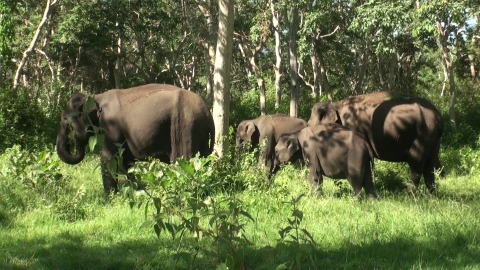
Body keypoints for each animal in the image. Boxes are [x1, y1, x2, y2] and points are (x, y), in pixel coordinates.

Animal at [55, 83, 215, 195]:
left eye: (65, 120)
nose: (75, 142)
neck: (95, 97)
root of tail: (208, 114)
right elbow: (126, 161)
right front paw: (133, 192)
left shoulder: (110, 126)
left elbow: (109, 158)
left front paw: (109, 199)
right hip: (198, 133)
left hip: (186, 128)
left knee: (184, 161)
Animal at [310, 92, 444, 193]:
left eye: (310, 122)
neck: (335, 105)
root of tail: (439, 118)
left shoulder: (355, 128)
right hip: (433, 139)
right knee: (430, 165)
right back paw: (432, 195)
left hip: (422, 135)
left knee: (416, 163)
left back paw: (409, 195)